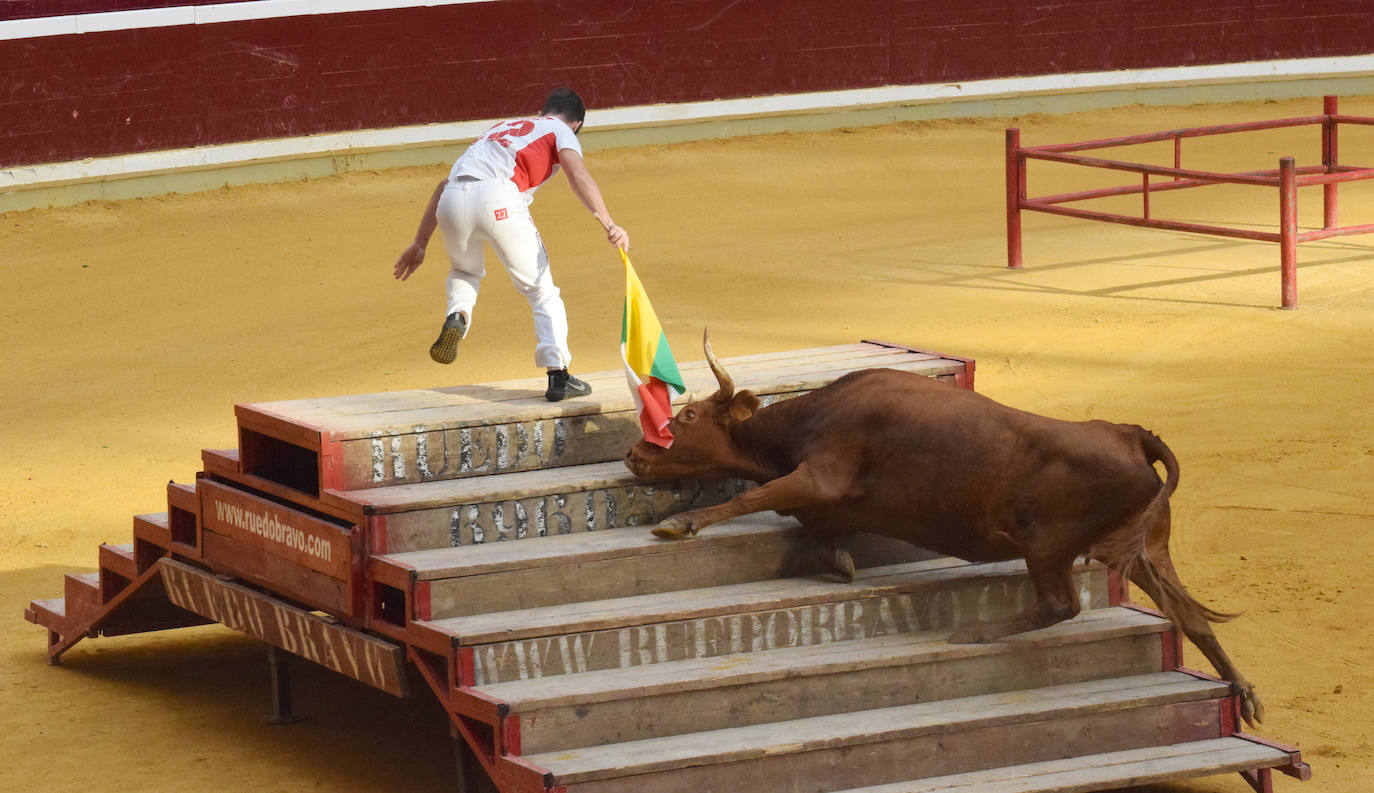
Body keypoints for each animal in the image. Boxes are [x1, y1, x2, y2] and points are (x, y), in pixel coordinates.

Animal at [629, 331, 1258, 725]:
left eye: (687, 416)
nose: (636, 454)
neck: (806, 418)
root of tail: (1129, 434)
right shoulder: (822, 498)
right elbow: (813, 528)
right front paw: (840, 560)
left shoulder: (819, 475)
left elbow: (755, 496)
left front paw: (681, 523)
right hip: (1147, 551)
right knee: (1191, 617)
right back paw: (1243, 690)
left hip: (1046, 545)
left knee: (1061, 603)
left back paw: (975, 632)